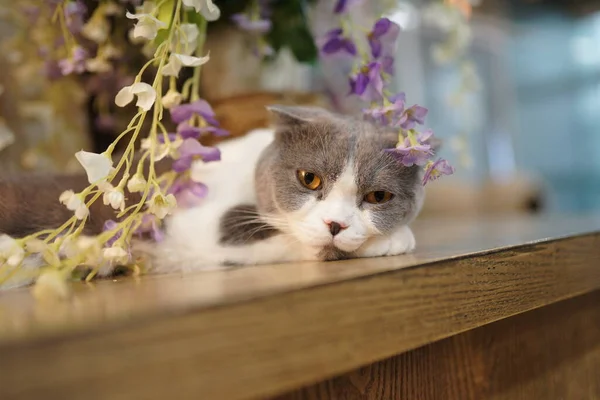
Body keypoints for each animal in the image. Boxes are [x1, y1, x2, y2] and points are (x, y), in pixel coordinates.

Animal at [0, 106, 426, 286]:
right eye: (310, 179)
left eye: (378, 196)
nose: (335, 223)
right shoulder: (189, 224)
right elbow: (289, 239)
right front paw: (394, 241)